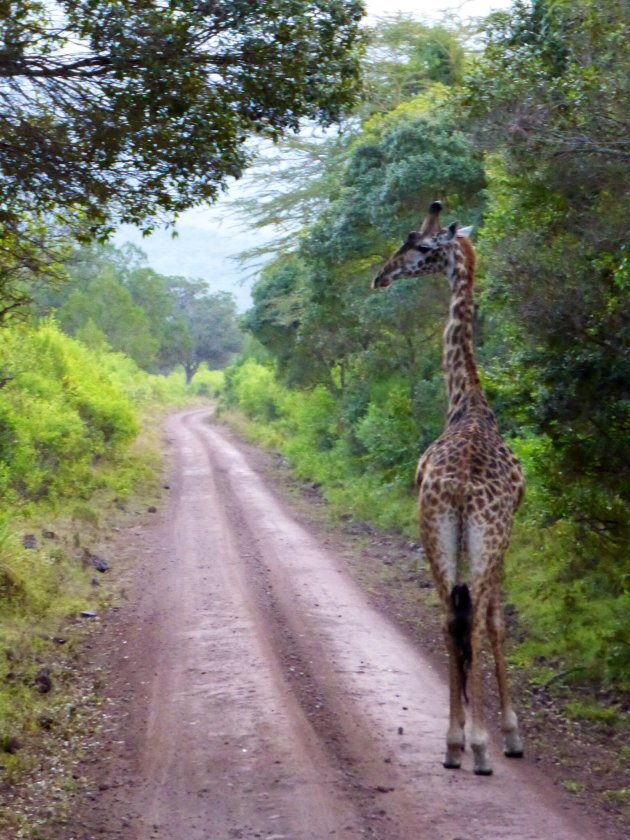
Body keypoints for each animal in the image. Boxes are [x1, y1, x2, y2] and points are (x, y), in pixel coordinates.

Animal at [372, 202, 524, 776]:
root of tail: (458, 487)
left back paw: (454, 742)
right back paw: (476, 745)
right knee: (472, 620)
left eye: (418, 247)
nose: (380, 276)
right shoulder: (506, 536)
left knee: (448, 618)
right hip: (476, 536)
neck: (467, 400)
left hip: (434, 530)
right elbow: (496, 621)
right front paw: (510, 735)